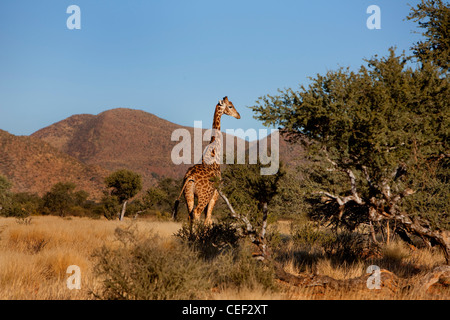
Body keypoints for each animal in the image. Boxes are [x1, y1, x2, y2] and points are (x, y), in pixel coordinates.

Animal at [172, 97, 241, 225]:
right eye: (230, 106)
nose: (238, 115)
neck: (213, 152)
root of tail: (190, 176)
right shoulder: (216, 194)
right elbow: (208, 219)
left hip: (188, 193)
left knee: (190, 215)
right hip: (204, 195)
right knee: (196, 213)